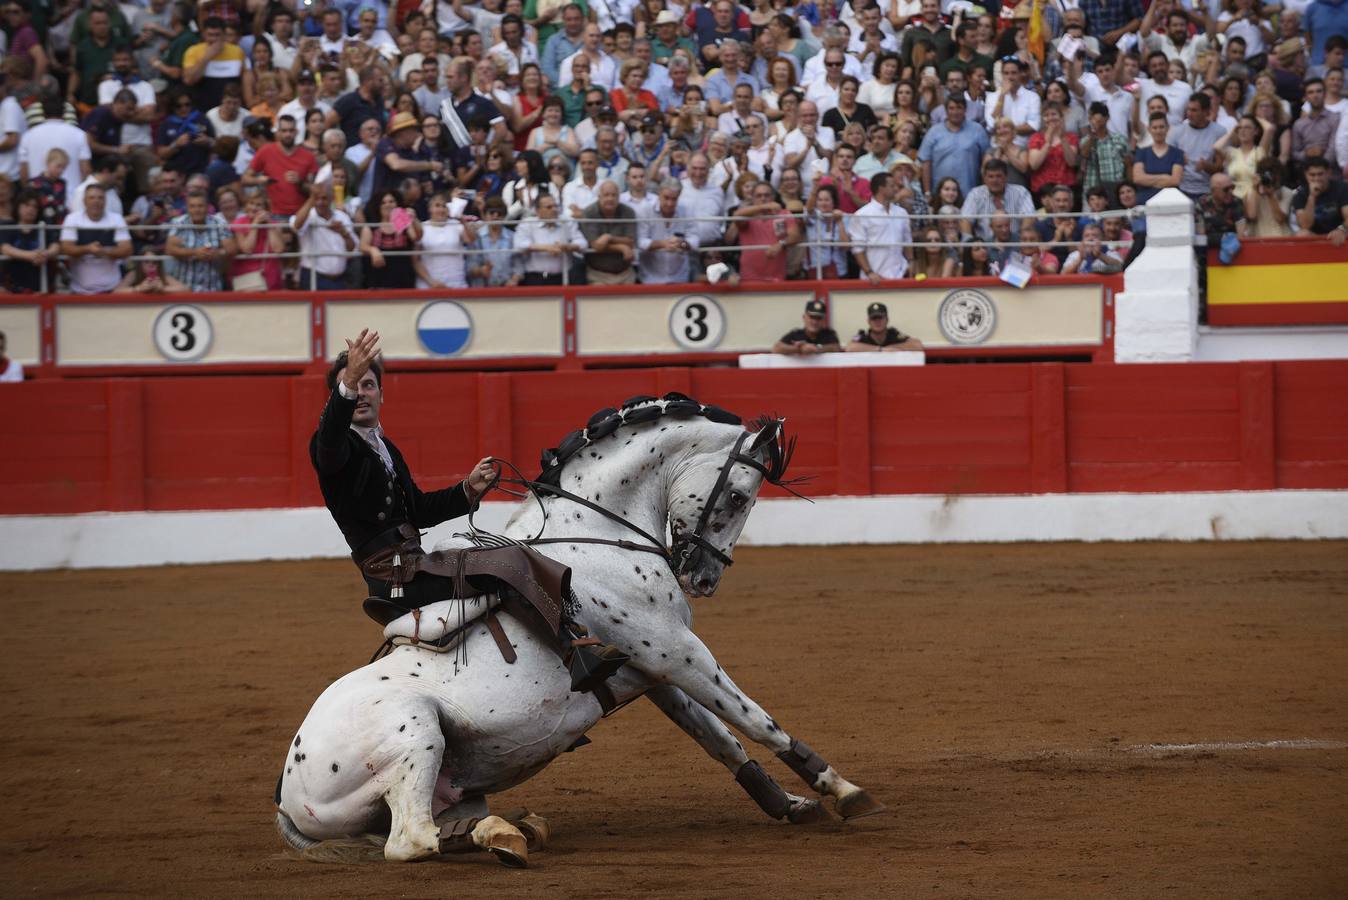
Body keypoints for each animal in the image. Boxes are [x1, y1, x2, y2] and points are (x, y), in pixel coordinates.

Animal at [274, 390, 884, 862]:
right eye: (736, 496)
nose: (705, 578)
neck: (601, 534)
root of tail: (285, 793)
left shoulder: (655, 674)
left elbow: (721, 738)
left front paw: (792, 805)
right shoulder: (679, 652)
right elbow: (757, 720)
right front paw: (845, 790)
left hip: (453, 780)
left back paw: (516, 826)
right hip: (415, 733)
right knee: (410, 841)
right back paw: (504, 836)